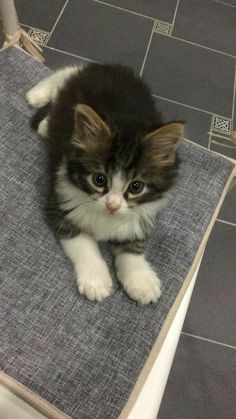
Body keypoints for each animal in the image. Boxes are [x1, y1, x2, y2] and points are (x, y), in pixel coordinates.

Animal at [26, 62, 184, 306]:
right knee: (68, 71)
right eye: (99, 180)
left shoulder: (141, 214)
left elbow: (132, 246)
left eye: (136, 187)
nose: (112, 205)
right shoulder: (60, 202)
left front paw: (141, 280)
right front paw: (96, 280)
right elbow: (83, 243)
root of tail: (105, 67)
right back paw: (37, 97)